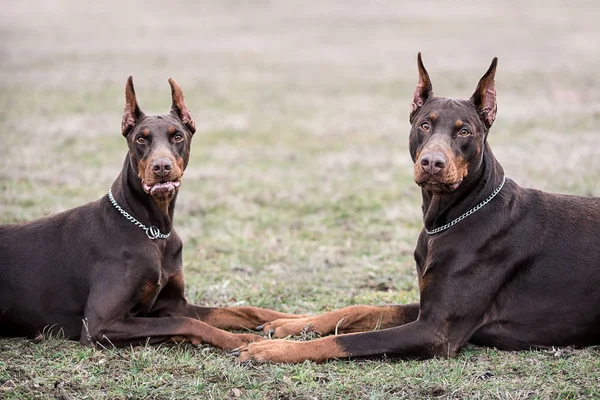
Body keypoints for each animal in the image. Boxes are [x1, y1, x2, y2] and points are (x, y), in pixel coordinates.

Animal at [0, 76, 300, 350]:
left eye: (177, 136)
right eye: (141, 139)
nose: (161, 167)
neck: (154, 230)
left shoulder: (174, 303)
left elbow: (246, 310)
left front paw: (293, 320)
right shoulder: (99, 324)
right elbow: (186, 322)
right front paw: (242, 339)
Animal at [234, 53, 600, 362]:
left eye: (464, 131)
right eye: (425, 125)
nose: (433, 163)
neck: (454, 217)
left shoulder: (436, 330)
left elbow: (346, 340)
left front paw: (271, 349)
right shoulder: (425, 307)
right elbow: (357, 310)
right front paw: (288, 325)